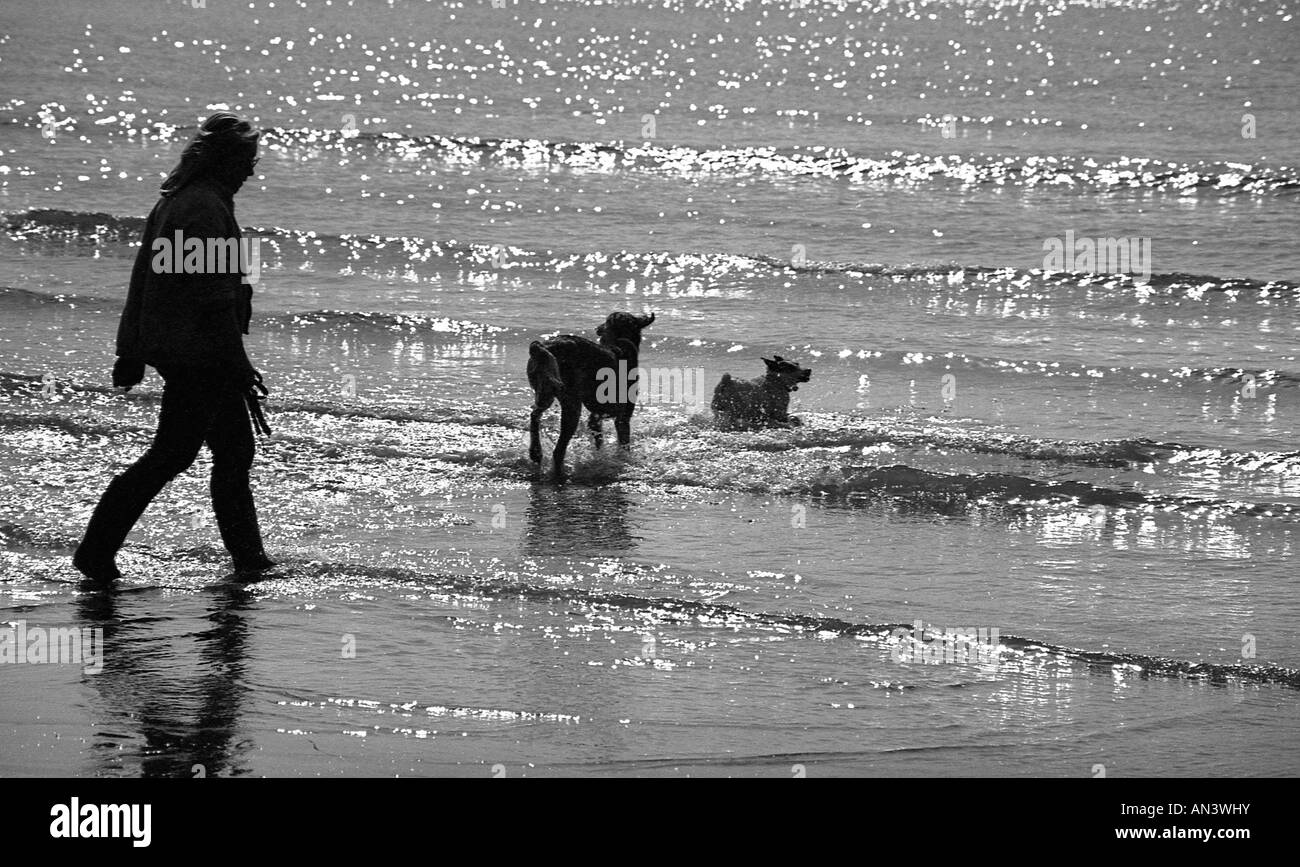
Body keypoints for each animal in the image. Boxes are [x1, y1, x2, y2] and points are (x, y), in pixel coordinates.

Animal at [525, 311, 655, 478]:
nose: (597, 328)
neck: (621, 341)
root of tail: (543, 346)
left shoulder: (596, 417)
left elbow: (598, 439)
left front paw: (600, 458)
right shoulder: (622, 416)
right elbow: (624, 443)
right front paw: (622, 460)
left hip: (545, 391)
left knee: (535, 415)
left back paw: (536, 452)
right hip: (571, 403)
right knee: (558, 451)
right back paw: (559, 473)